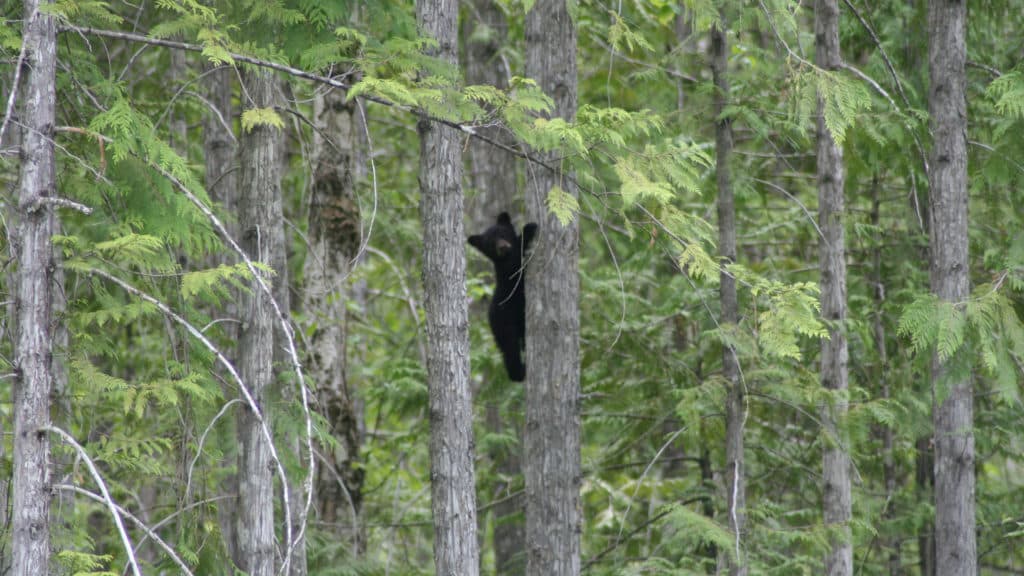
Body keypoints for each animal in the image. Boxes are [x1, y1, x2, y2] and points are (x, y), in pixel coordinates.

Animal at [468, 212, 538, 382]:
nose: (502, 247)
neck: (504, 257)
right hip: (504, 321)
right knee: (510, 348)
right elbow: (516, 263)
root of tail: (489, 317)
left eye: (503, 234)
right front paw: (528, 229)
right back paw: (519, 372)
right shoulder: (507, 269)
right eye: (490, 243)